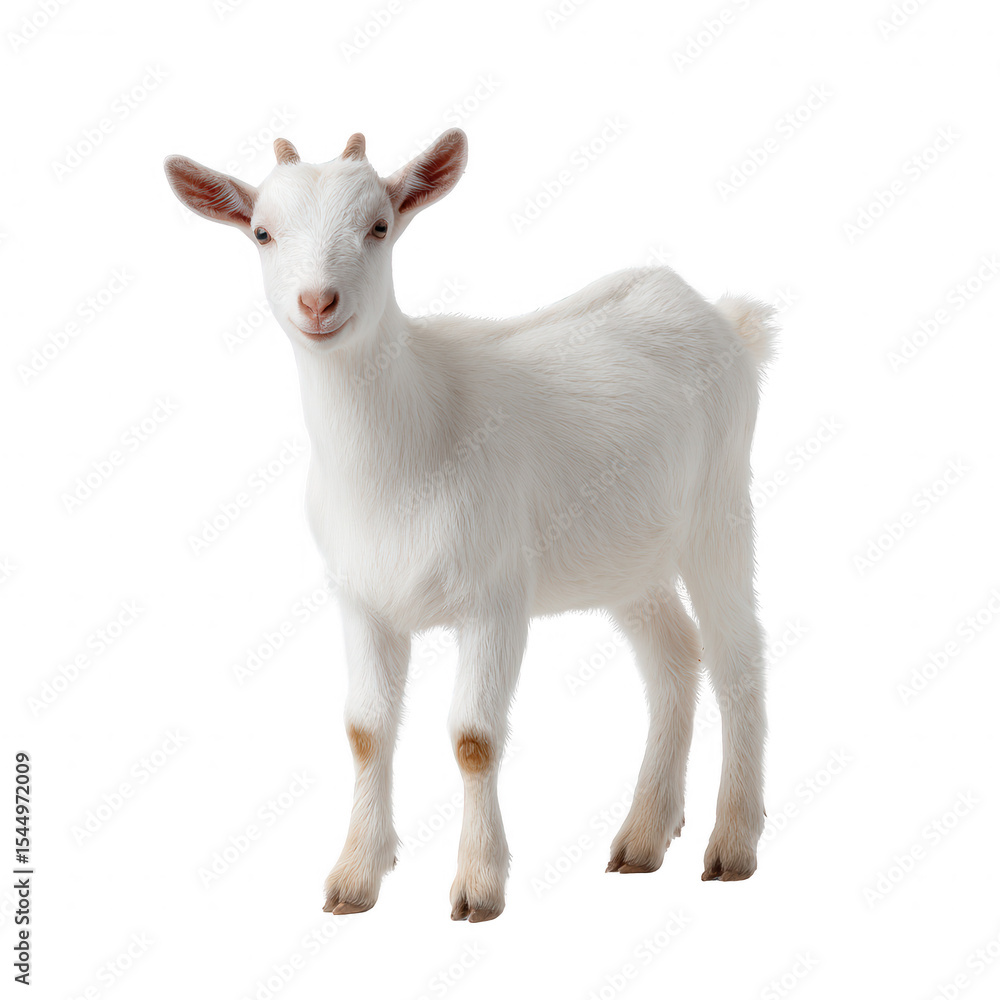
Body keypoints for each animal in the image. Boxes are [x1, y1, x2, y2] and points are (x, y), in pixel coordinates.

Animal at [164, 128, 776, 922]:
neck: (406, 447)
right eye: (262, 232)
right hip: (628, 557)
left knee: (739, 658)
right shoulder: (362, 599)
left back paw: (732, 844)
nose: (318, 302)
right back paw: (643, 837)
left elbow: (474, 738)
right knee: (673, 656)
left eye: (379, 226)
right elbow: (365, 730)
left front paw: (479, 885)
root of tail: (720, 316)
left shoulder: (496, 596)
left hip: (720, 511)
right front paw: (354, 877)